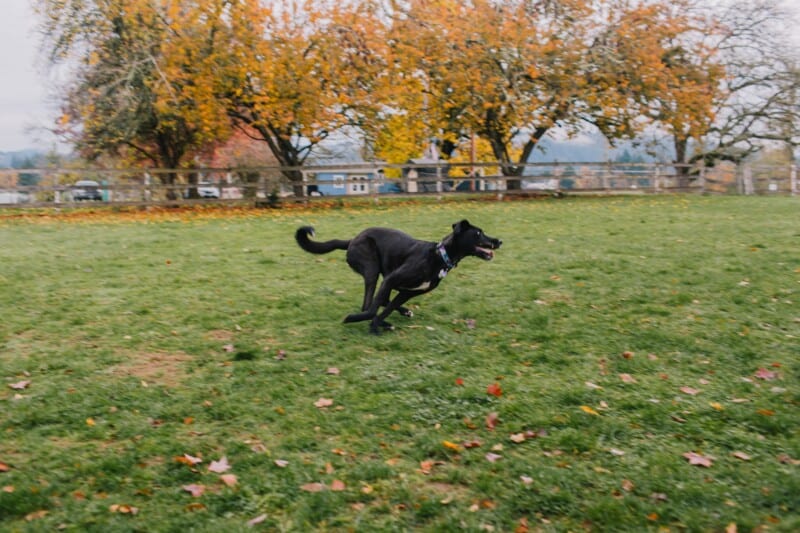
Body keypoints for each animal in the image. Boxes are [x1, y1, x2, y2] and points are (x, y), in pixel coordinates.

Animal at [294, 218, 500, 330]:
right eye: (479, 233)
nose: (499, 241)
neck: (439, 255)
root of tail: (352, 240)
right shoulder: (392, 279)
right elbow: (373, 310)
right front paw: (362, 321)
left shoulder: (407, 292)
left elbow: (387, 308)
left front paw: (378, 323)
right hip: (372, 270)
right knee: (367, 304)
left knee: (381, 301)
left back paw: (398, 315)